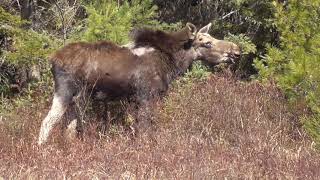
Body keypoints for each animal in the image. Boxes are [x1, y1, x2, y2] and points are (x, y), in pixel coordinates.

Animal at [38, 23, 240, 146]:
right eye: (207, 43)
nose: (237, 51)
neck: (173, 63)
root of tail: (52, 59)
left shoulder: (134, 99)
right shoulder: (146, 95)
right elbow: (145, 128)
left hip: (75, 97)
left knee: (68, 128)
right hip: (66, 91)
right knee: (48, 122)